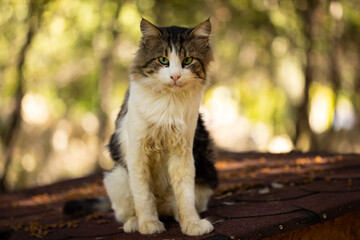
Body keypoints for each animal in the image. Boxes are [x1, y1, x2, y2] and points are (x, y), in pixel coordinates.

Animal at [64, 18, 217, 236]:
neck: (167, 102)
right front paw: (148, 224)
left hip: (204, 177)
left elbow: (185, 194)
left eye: (187, 61)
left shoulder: (182, 152)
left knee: (178, 203)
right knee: (127, 211)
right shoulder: (137, 151)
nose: (175, 76)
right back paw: (135, 223)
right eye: (163, 60)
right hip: (116, 177)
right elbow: (144, 196)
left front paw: (191, 223)